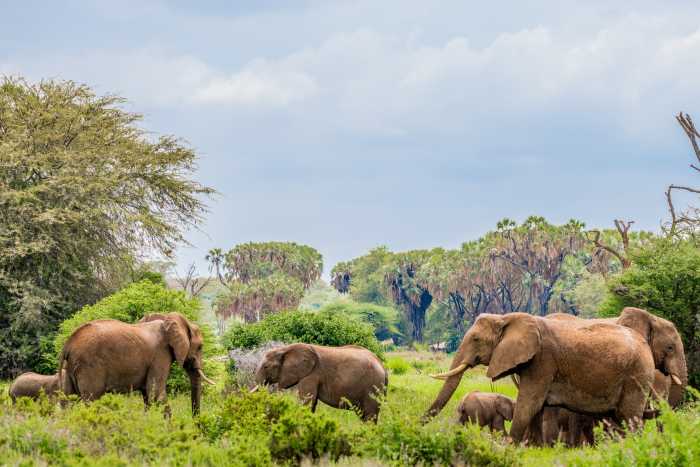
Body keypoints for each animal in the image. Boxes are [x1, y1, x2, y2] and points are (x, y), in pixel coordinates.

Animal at [58, 312, 214, 415]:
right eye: (200, 347)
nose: (196, 424)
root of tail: (68, 343)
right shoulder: (160, 355)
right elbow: (156, 394)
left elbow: (148, 396)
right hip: (90, 365)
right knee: (92, 400)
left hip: (70, 368)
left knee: (68, 401)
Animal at [254, 343, 388, 421]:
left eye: (266, 367)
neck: (285, 349)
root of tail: (383, 366)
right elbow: (311, 403)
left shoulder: (311, 374)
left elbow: (307, 401)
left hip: (373, 386)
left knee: (370, 415)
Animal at [425, 312, 655, 443]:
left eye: (475, 339)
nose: (420, 425)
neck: (506, 318)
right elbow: (536, 408)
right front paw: (532, 448)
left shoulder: (543, 361)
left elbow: (529, 404)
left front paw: (509, 446)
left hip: (636, 376)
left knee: (630, 417)